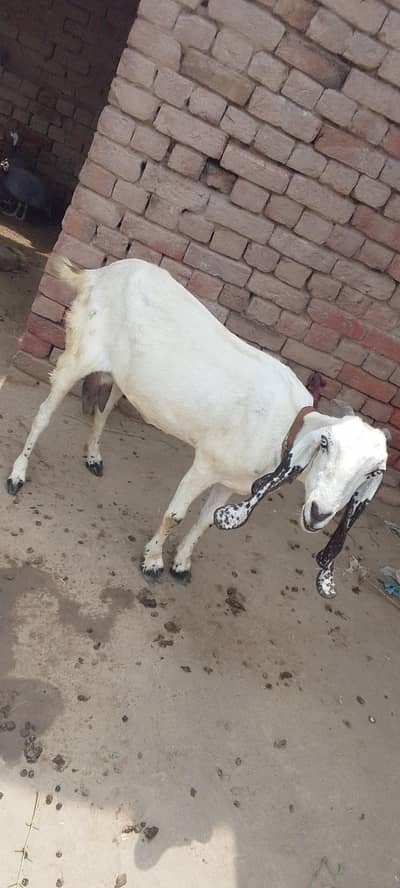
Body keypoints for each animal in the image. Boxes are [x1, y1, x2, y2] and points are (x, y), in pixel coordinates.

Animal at [7, 257, 387, 597]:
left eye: (372, 472)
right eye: (326, 444)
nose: (319, 512)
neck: (284, 428)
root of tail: (95, 275)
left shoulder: (232, 482)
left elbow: (207, 521)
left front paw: (182, 565)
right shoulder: (205, 464)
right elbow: (175, 515)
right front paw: (153, 563)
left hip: (122, 376)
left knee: (103, 410)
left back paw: (93, 456)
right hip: (80, 353)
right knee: (44, 414)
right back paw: (17, 475)